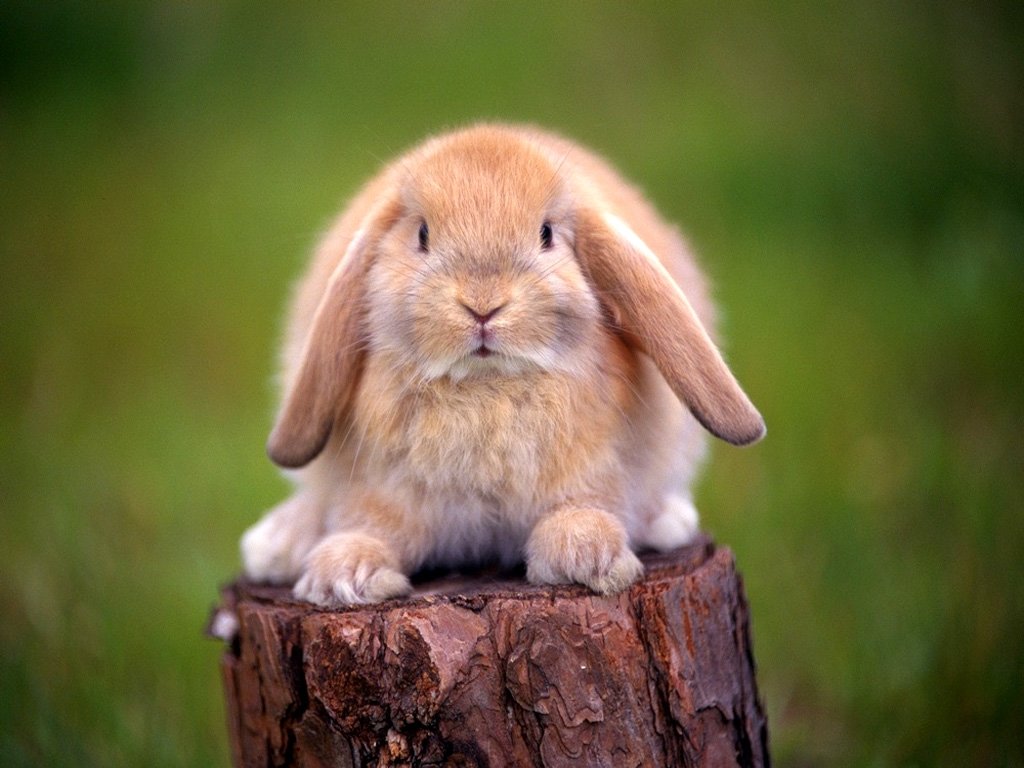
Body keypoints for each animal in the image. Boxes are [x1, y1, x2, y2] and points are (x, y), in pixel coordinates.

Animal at [240, 123, 764, 606]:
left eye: (546, 234)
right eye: (422, 235)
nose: (482, 305)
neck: (486, 387)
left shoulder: (597, 471)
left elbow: (583, 507)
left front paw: (587, 556)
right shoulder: (382, 489)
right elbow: (370, 525)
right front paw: (342, 576)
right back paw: (279, 544)